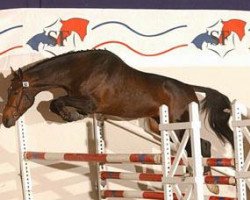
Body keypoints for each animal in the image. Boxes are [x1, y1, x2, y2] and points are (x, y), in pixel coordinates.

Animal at [1, 48, 233, 156]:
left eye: (15, 92)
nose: (6, 121)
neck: (79, 71)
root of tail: (190, 89)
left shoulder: (91, 104)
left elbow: (54, 102)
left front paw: (70, 115)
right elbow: (55, 103)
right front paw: (72, 114)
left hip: (179, 124)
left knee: (202, 145)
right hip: (160, 125)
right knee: (193, 147)